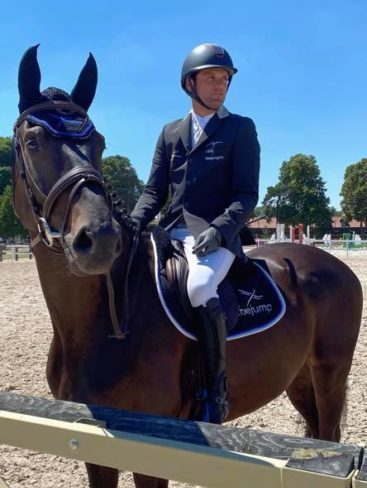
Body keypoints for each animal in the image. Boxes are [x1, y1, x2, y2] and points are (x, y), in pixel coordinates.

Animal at [12, 45, 364, 488]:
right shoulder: (91, 443)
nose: (100, 239)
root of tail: (334, 264)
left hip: (330, 372)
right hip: (298, 376)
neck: (100, 323)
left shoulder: (154, 449)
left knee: (330, 433)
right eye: (32, 141)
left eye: (99, 144)